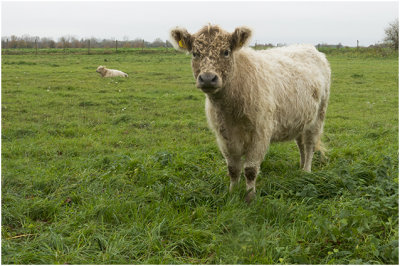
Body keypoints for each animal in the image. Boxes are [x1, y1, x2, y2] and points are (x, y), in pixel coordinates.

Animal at [171, 26, 332, 203]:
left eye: (226, 52)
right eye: (195, 53)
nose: (207, 78)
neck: (229, 110)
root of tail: (310, 48)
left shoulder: (260, 133)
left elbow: (250, 169)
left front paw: (249, 197)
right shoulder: (224, 136)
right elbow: (233, 168)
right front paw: (232, 193)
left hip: (318, 117)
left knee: (309, 145)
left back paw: (306, 171)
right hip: (300, 119)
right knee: (301, 145)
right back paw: (301, 167)